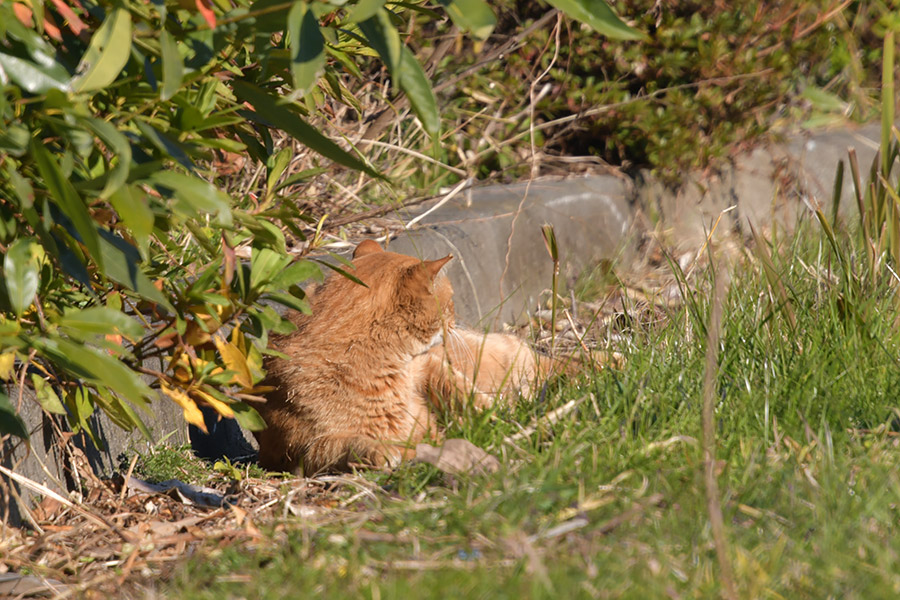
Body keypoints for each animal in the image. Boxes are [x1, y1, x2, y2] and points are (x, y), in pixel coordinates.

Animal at [256, 239, 572, 474]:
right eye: (451, 301)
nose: (456, 318)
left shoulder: (430, 365)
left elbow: (465, 395)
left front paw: (497, 418)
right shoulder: (294, 452)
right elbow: (343, 445)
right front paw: (381, 451)